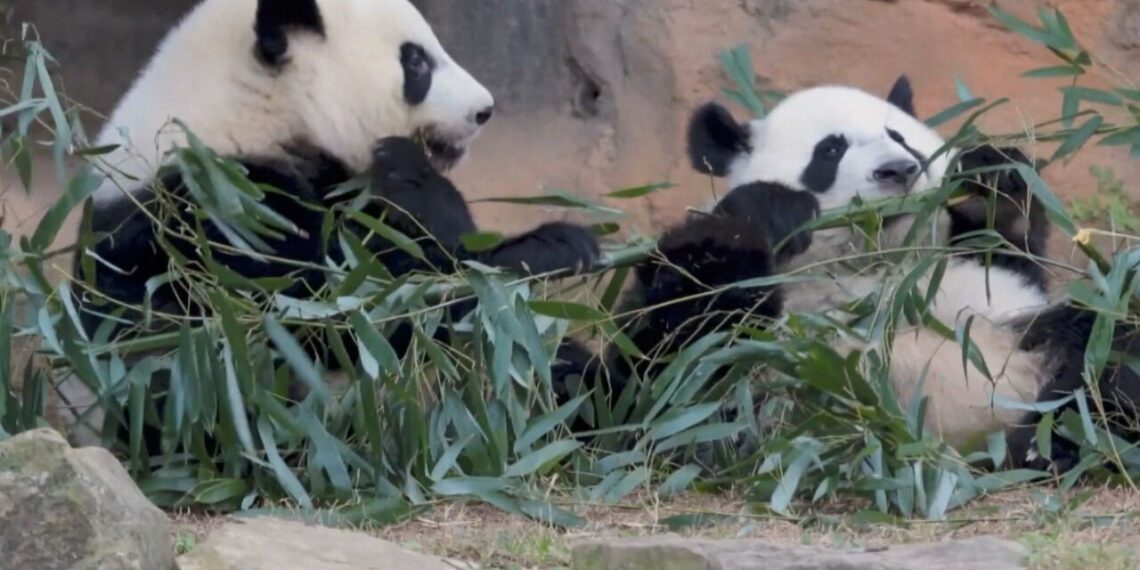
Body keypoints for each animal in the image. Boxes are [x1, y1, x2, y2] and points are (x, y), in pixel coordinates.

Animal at [61, 0, 600, 449]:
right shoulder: (215, 212)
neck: (253, 109)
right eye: (416, 62)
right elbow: (362, 310)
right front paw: (550, 245)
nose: (484, 110)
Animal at [555, 75, 1140, 475]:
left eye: (900, 138)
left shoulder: (970, 285)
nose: (897, 171)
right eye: (830, 150)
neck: (866, 265)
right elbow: (663, 376)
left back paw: (1058, 439)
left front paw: (992, 179)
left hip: (1024, 348)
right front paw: (764, 213)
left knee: (1105, 348)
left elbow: (1006, 253)